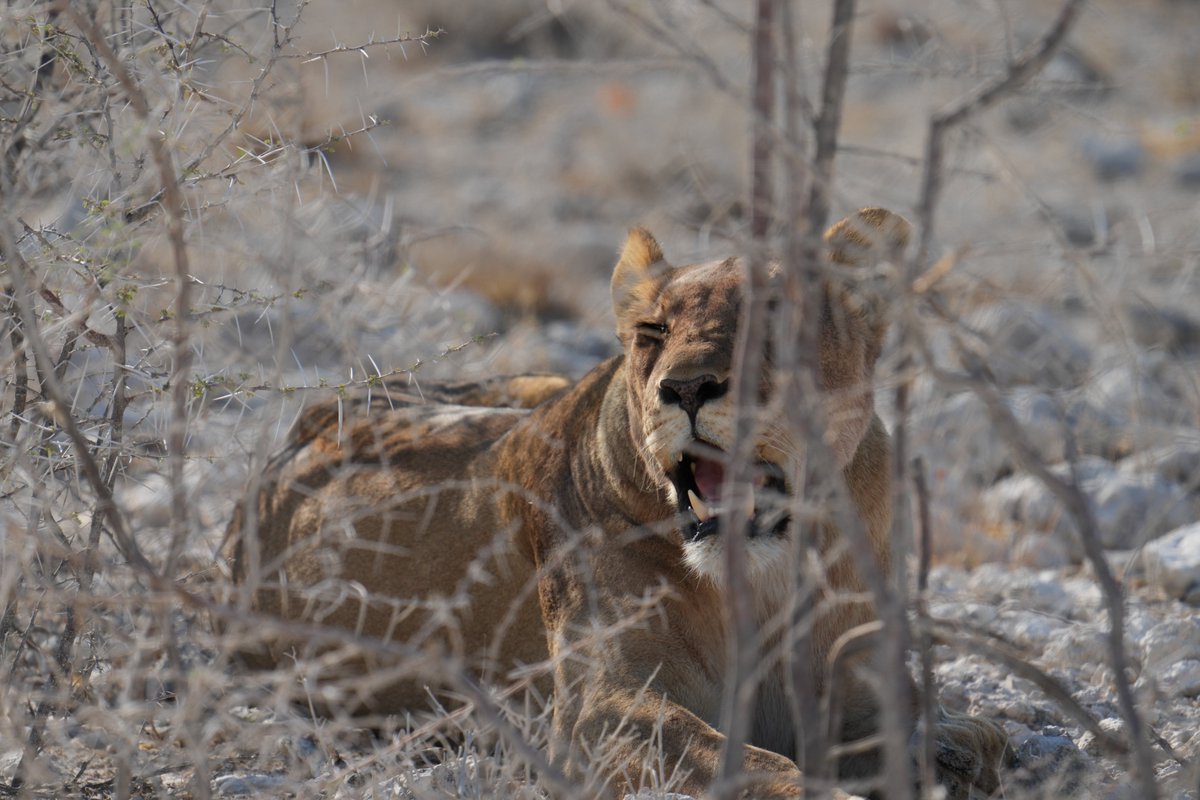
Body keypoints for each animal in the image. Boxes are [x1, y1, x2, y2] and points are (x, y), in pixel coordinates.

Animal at [224, 208, 1008, 799]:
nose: (685, 388)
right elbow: (763, 768)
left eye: (774, 320)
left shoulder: (861, 689)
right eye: (653, 332)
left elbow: (950, 733)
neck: (764, 583)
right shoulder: (600, 712)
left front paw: (958, 745)